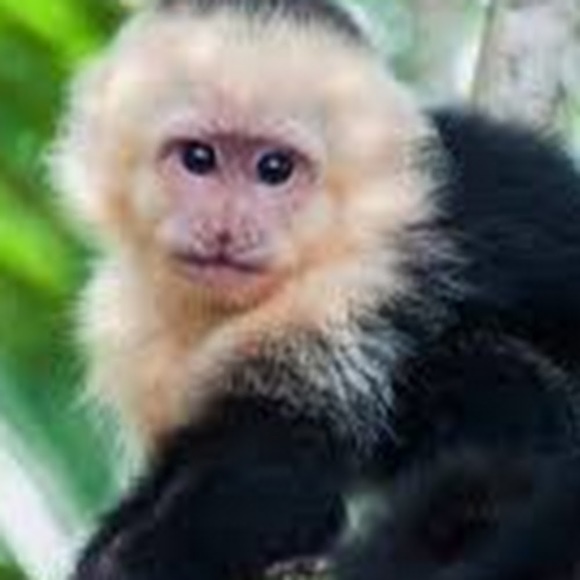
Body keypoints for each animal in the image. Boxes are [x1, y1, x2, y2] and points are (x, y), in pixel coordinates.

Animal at [50, 0, 580, 578]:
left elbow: (276, 483)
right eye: (198, 158)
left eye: (275, 168)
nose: (227, 230)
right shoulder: (126, 326)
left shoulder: (358, 284)